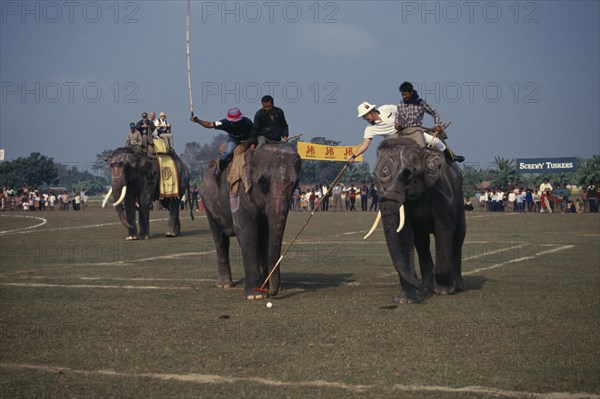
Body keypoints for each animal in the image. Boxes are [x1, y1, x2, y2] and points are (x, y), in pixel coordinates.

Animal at [200, 145, 300, 302]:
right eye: (263, 181)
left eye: (295, 184)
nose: (270, 292)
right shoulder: (239, 191)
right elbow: (247, 232)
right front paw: (255, 295)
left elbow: (266, 236)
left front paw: (265, 287)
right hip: (207, 204)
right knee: (220, 239)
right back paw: (224, 285)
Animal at [364, 138, 466, 304]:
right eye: (374, 176)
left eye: (406, 174)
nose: (417, 284)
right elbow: (404, 236)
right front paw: (405, 300)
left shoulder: (442, 194)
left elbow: (444, 230)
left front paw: (445, 291)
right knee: (422, 244)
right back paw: (426, 288)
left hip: (459, 197)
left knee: (458, 237)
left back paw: (457, 287)